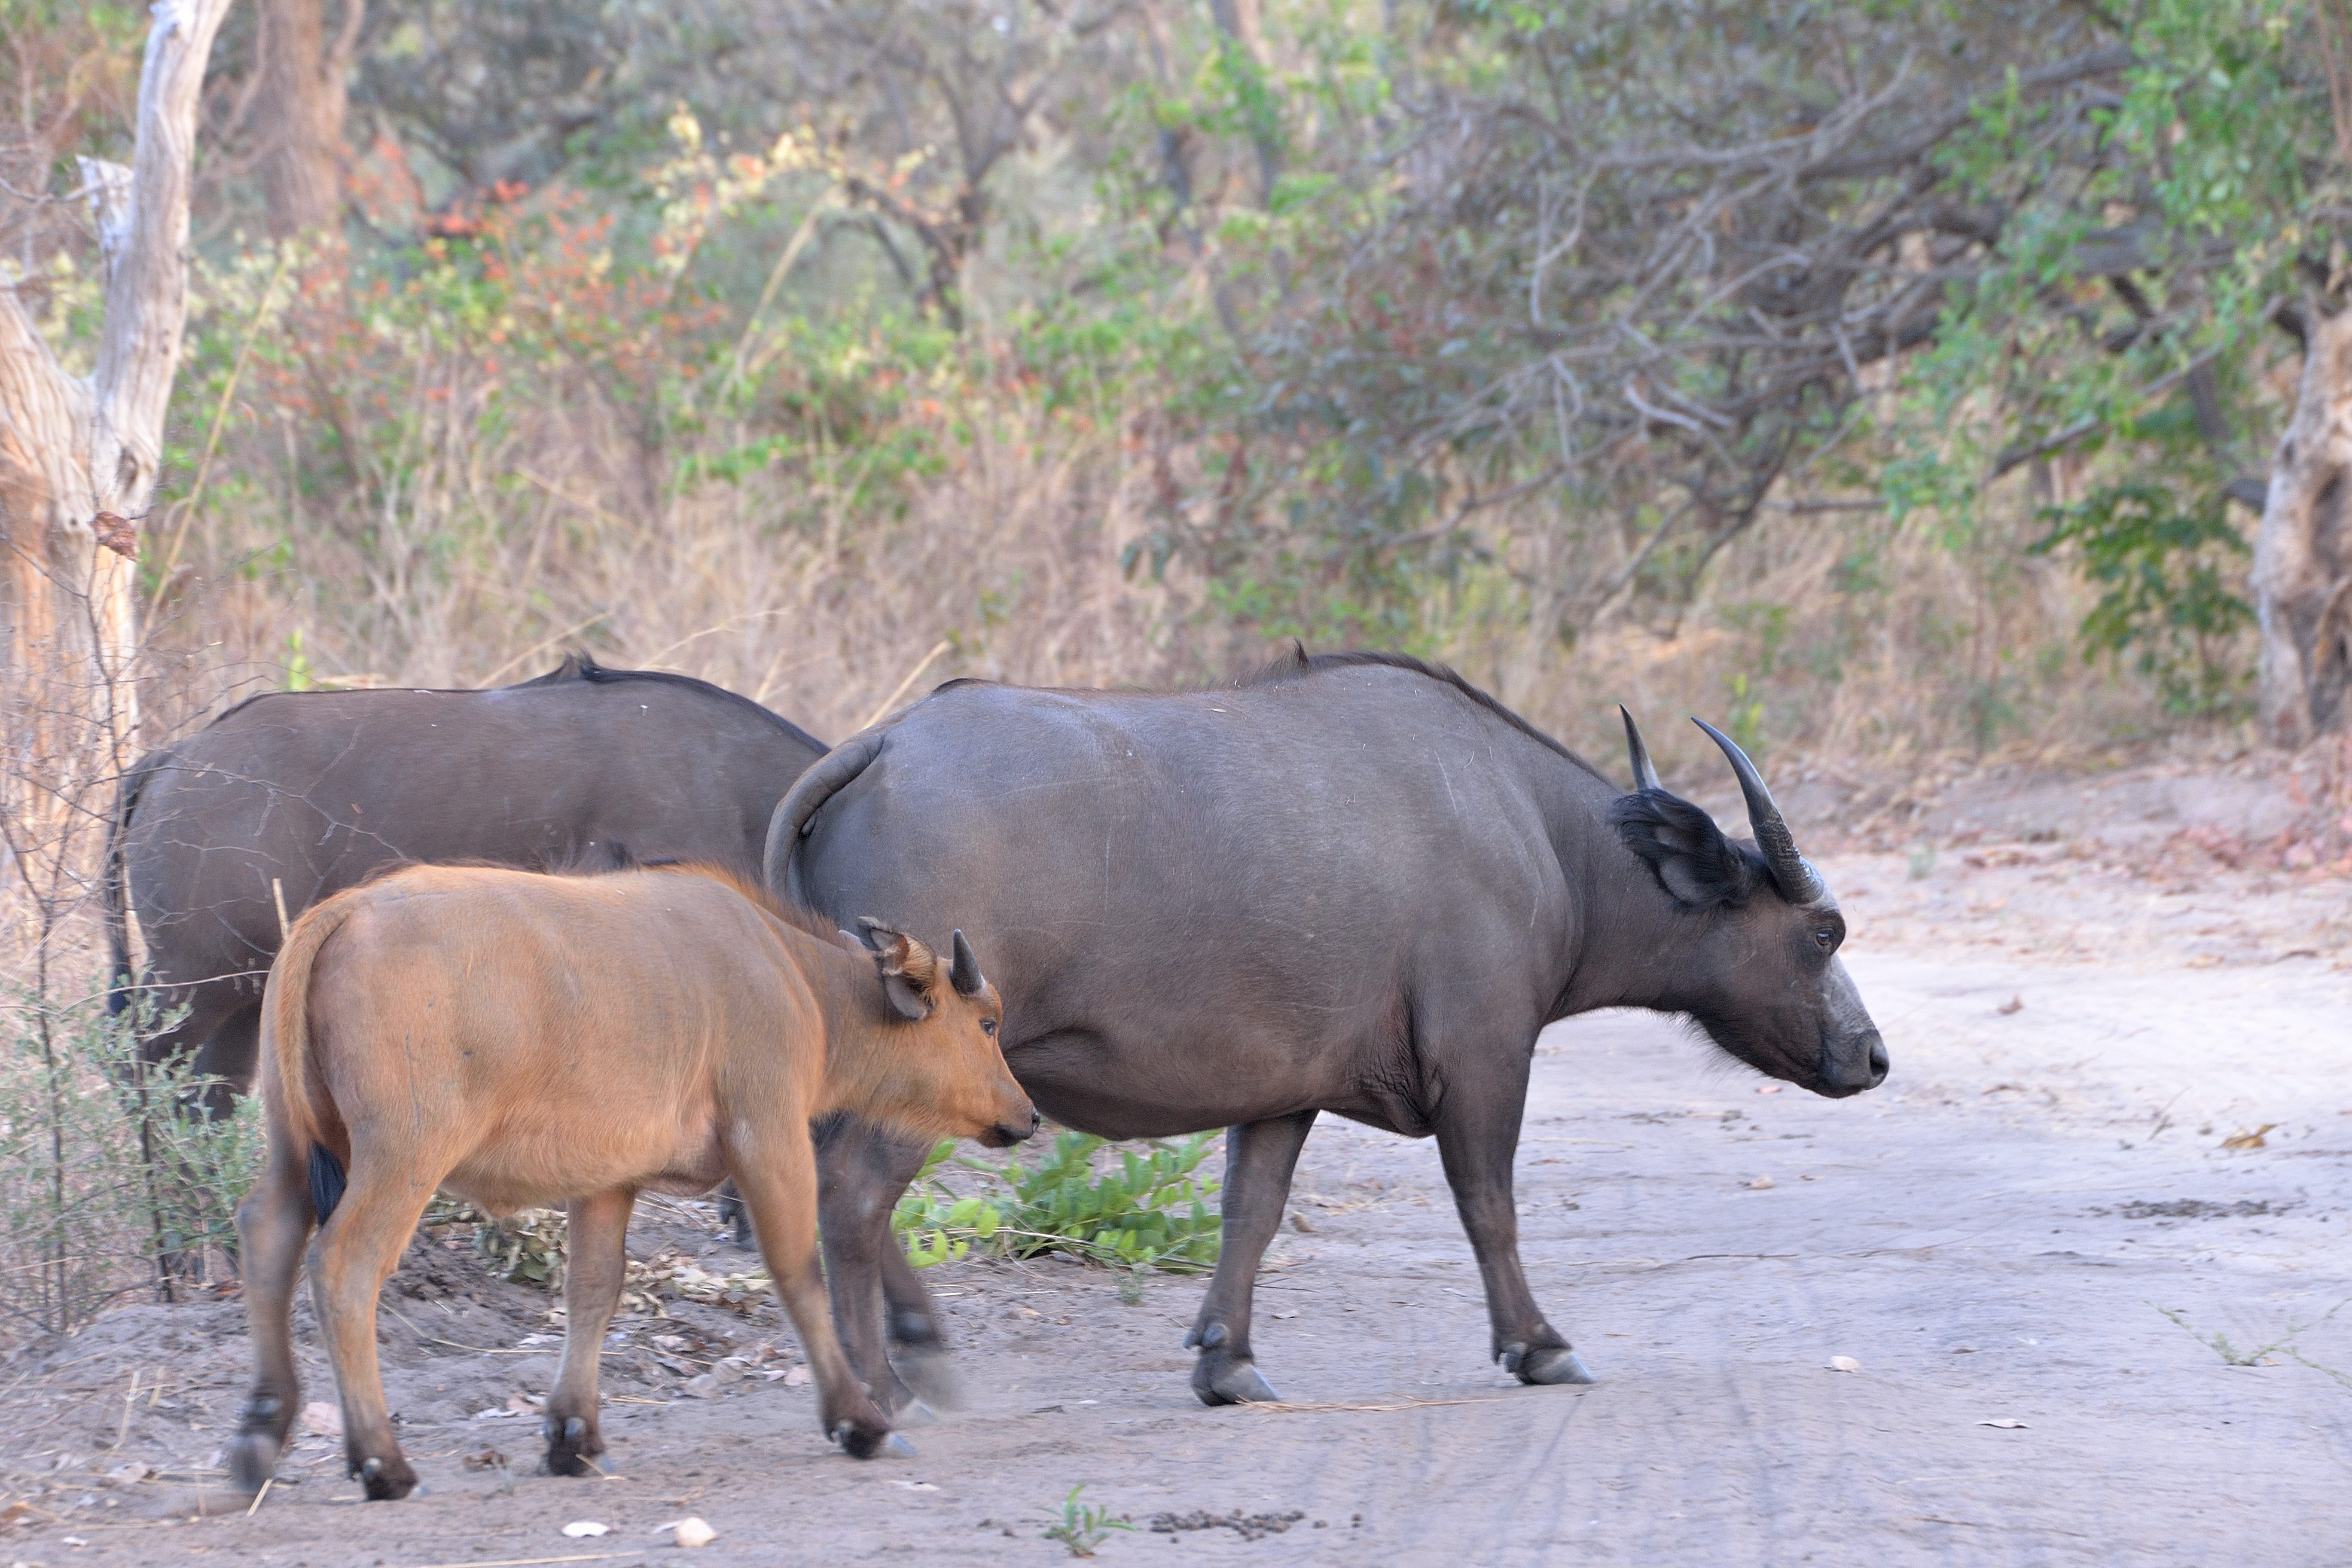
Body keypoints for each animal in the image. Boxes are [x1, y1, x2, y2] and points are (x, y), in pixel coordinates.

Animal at [232, 865, 1039, 1504]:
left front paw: (573, 1436)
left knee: (267, 1240)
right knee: (345, 1267)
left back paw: (259, 1438)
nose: (1027, 1115)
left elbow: (593, 1291)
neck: (794, 977)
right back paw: (383, 1463)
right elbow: (796, 1273)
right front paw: (860, 1421)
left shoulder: (607, 1182)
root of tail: (346, 910)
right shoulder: (769, 1136)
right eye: (986, 1023)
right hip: (402, 1159)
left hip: (296, 1153)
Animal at [771, 649, 1891, 1410]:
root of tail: (881, 744)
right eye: (1822, 930)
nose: (1874, 1055)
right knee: (854, 1197)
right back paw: (884, 1387)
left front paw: (1229, 1359)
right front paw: (1538, 1343)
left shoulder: (1284, 1092)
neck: (1539, 837)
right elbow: (1489, 1206)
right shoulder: (1484, 1059)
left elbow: (1251, 1212)